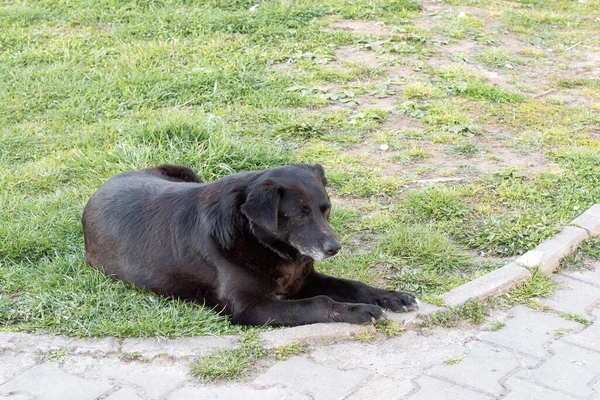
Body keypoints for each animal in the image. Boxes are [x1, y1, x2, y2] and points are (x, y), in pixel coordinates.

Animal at [82, 162, 420, 324]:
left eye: (326, 209)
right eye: (300, 214)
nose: (333, 248)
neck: (260, 241)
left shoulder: (304, 279)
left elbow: (354, 285)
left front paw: (392, 296)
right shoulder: (249, 307)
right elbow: (319, 302)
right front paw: (358, 311)